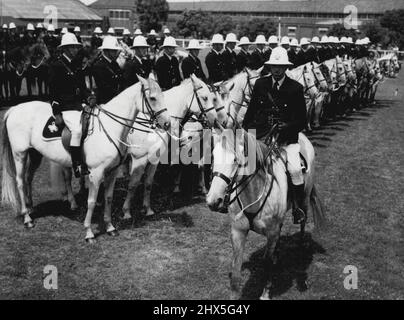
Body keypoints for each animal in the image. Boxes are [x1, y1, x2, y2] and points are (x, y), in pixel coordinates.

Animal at [1, 75, 170, 242]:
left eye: (163, 95)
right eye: (153, 98)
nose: (167, 123)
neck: (110, 127)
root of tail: (15, 109)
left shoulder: (112, 172)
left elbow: (108, 198)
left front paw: (110, 227)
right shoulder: (96, 173)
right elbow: (92, 201)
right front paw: (89, 232)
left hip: (34, 154)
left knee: (28, 179)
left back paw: (30, 207)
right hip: (20, 154)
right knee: (20, 181)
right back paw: (27, 218)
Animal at [207, 129, 326, 300]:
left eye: (235, 159)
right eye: (213, 156)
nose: (213, 200)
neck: (255, 194)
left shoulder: (271, 233)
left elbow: (267, 264)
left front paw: (265, 293)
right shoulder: (238, 232)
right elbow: (236, 272)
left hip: (304, 199)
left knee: (303, 222)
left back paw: (300, 247)